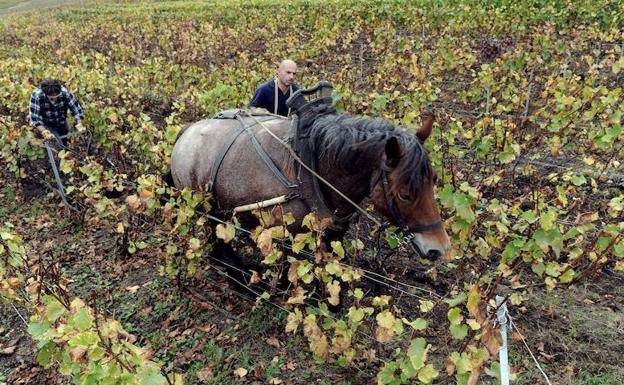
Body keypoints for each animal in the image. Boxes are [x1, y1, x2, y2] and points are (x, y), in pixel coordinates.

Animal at [168, 105, 450, 260]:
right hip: (203, 208)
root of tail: (186, 132)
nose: (440, 249)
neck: (312, 169)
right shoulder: (286, 235)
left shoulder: (334, 232)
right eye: (404, 194)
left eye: (435, 181)